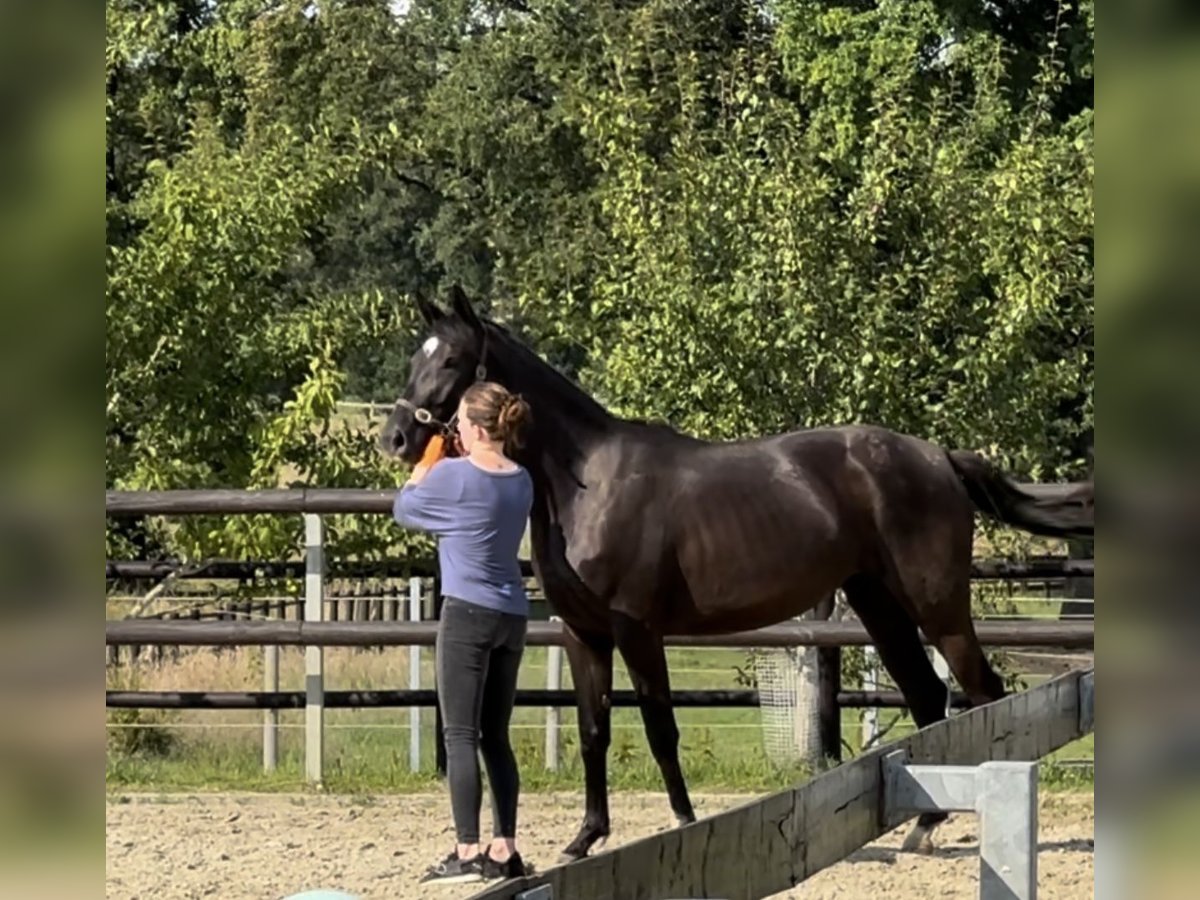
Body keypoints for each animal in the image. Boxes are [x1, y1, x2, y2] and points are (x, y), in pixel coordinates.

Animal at [381, 286, 1099, 859]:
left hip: (938, 605)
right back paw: (922, 825)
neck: (585, 482)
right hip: (880, 606)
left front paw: (682, 820)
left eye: (450, 360)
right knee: (928, 698)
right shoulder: (582, 634)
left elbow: (660, 728)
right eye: (415, 356)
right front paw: (585, 838)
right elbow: (593, 731)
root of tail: (938, 457)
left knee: (983, 695)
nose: (395, 438)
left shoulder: (637, 630)